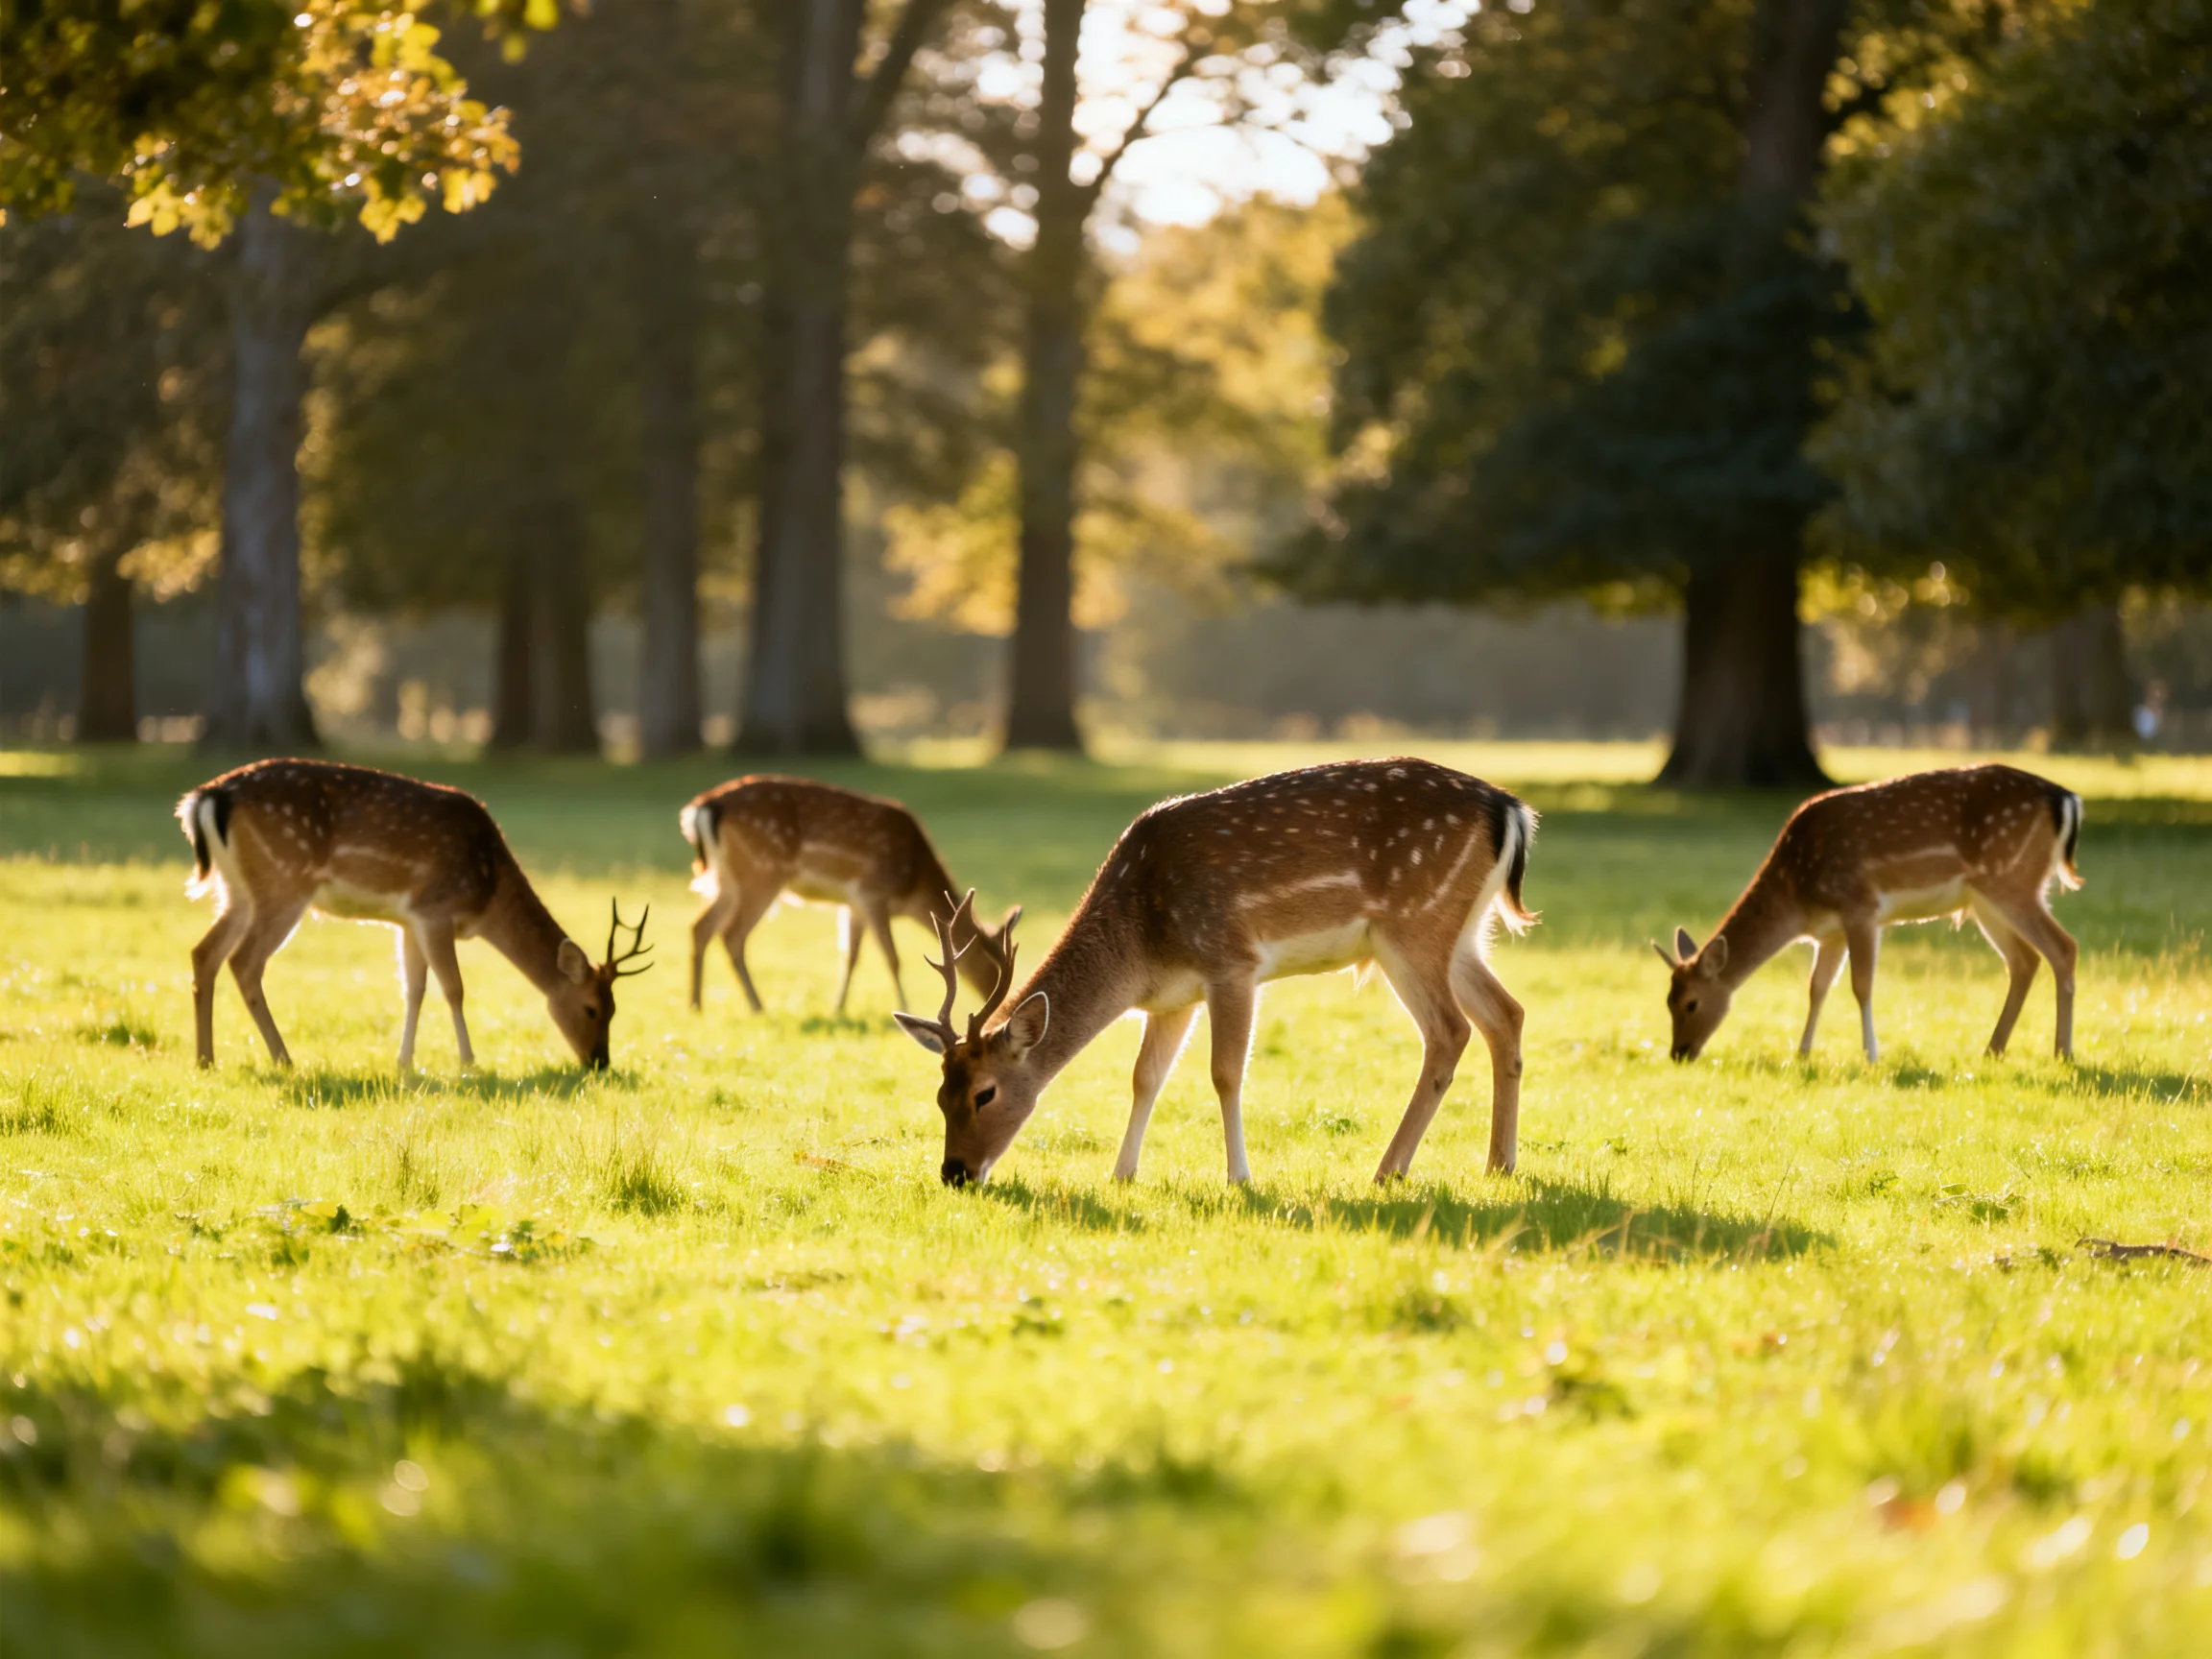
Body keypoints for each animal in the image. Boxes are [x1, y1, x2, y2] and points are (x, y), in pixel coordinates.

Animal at [177, 759, 653, 1071]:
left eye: (615, 1009)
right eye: (592, 1009)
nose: (600, 1061)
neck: (488, 892)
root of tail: (207, 798)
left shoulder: (406, 921)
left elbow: (414, 989)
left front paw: (404, 1062)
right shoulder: (434, 909)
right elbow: (454, 988)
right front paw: (469, 1062)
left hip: (238, 890)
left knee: (204, 952)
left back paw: (205, 1059)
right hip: (284, 881)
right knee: (244, 961)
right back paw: (283, 1057)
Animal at [678, 775, 1016, 1017]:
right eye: (990, 967)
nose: (999, 1004)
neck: (912, 887)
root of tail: (704, 807)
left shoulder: (852, 904)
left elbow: (850, 956)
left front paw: (838, 1009)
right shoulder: (872, 891)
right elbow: (892, 957)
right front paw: (904, 1008)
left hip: (727, 878)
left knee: (700, 926)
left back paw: (696, 1005)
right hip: (761, 871)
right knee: (731, 933)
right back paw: (757, 1006)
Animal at [892, 758, 1536, 1188]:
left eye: (985, 1093)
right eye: (939, 1096)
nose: (955, 1172)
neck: (1142, 943)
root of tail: (1511, 811)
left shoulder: (1232, 963)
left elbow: (1225, 1074)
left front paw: (1240, 1177)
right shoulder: (1174, 997)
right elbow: (1145, 1077)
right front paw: (1122, 1174)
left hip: (1412, 925)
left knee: (1449, 1031)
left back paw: (1387, 1170)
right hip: (1463, 933)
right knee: (1506, 1013)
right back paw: (1499, 1163)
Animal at [1658, 764, 2083, 1065]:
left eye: (1690, 1003)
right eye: (1667, 1001)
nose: (1679, 1053)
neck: (1797, 894)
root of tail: (2065, 798)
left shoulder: (1860, 907)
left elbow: (1861, 985)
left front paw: (1871, 1055)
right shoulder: (1829, 931)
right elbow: (1817, 987)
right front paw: (1802, 1054)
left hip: (2010, 880)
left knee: (2063, 947)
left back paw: (2062, 1052)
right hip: (1987, 899)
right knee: (2025, 960)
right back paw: (1993, 1049)